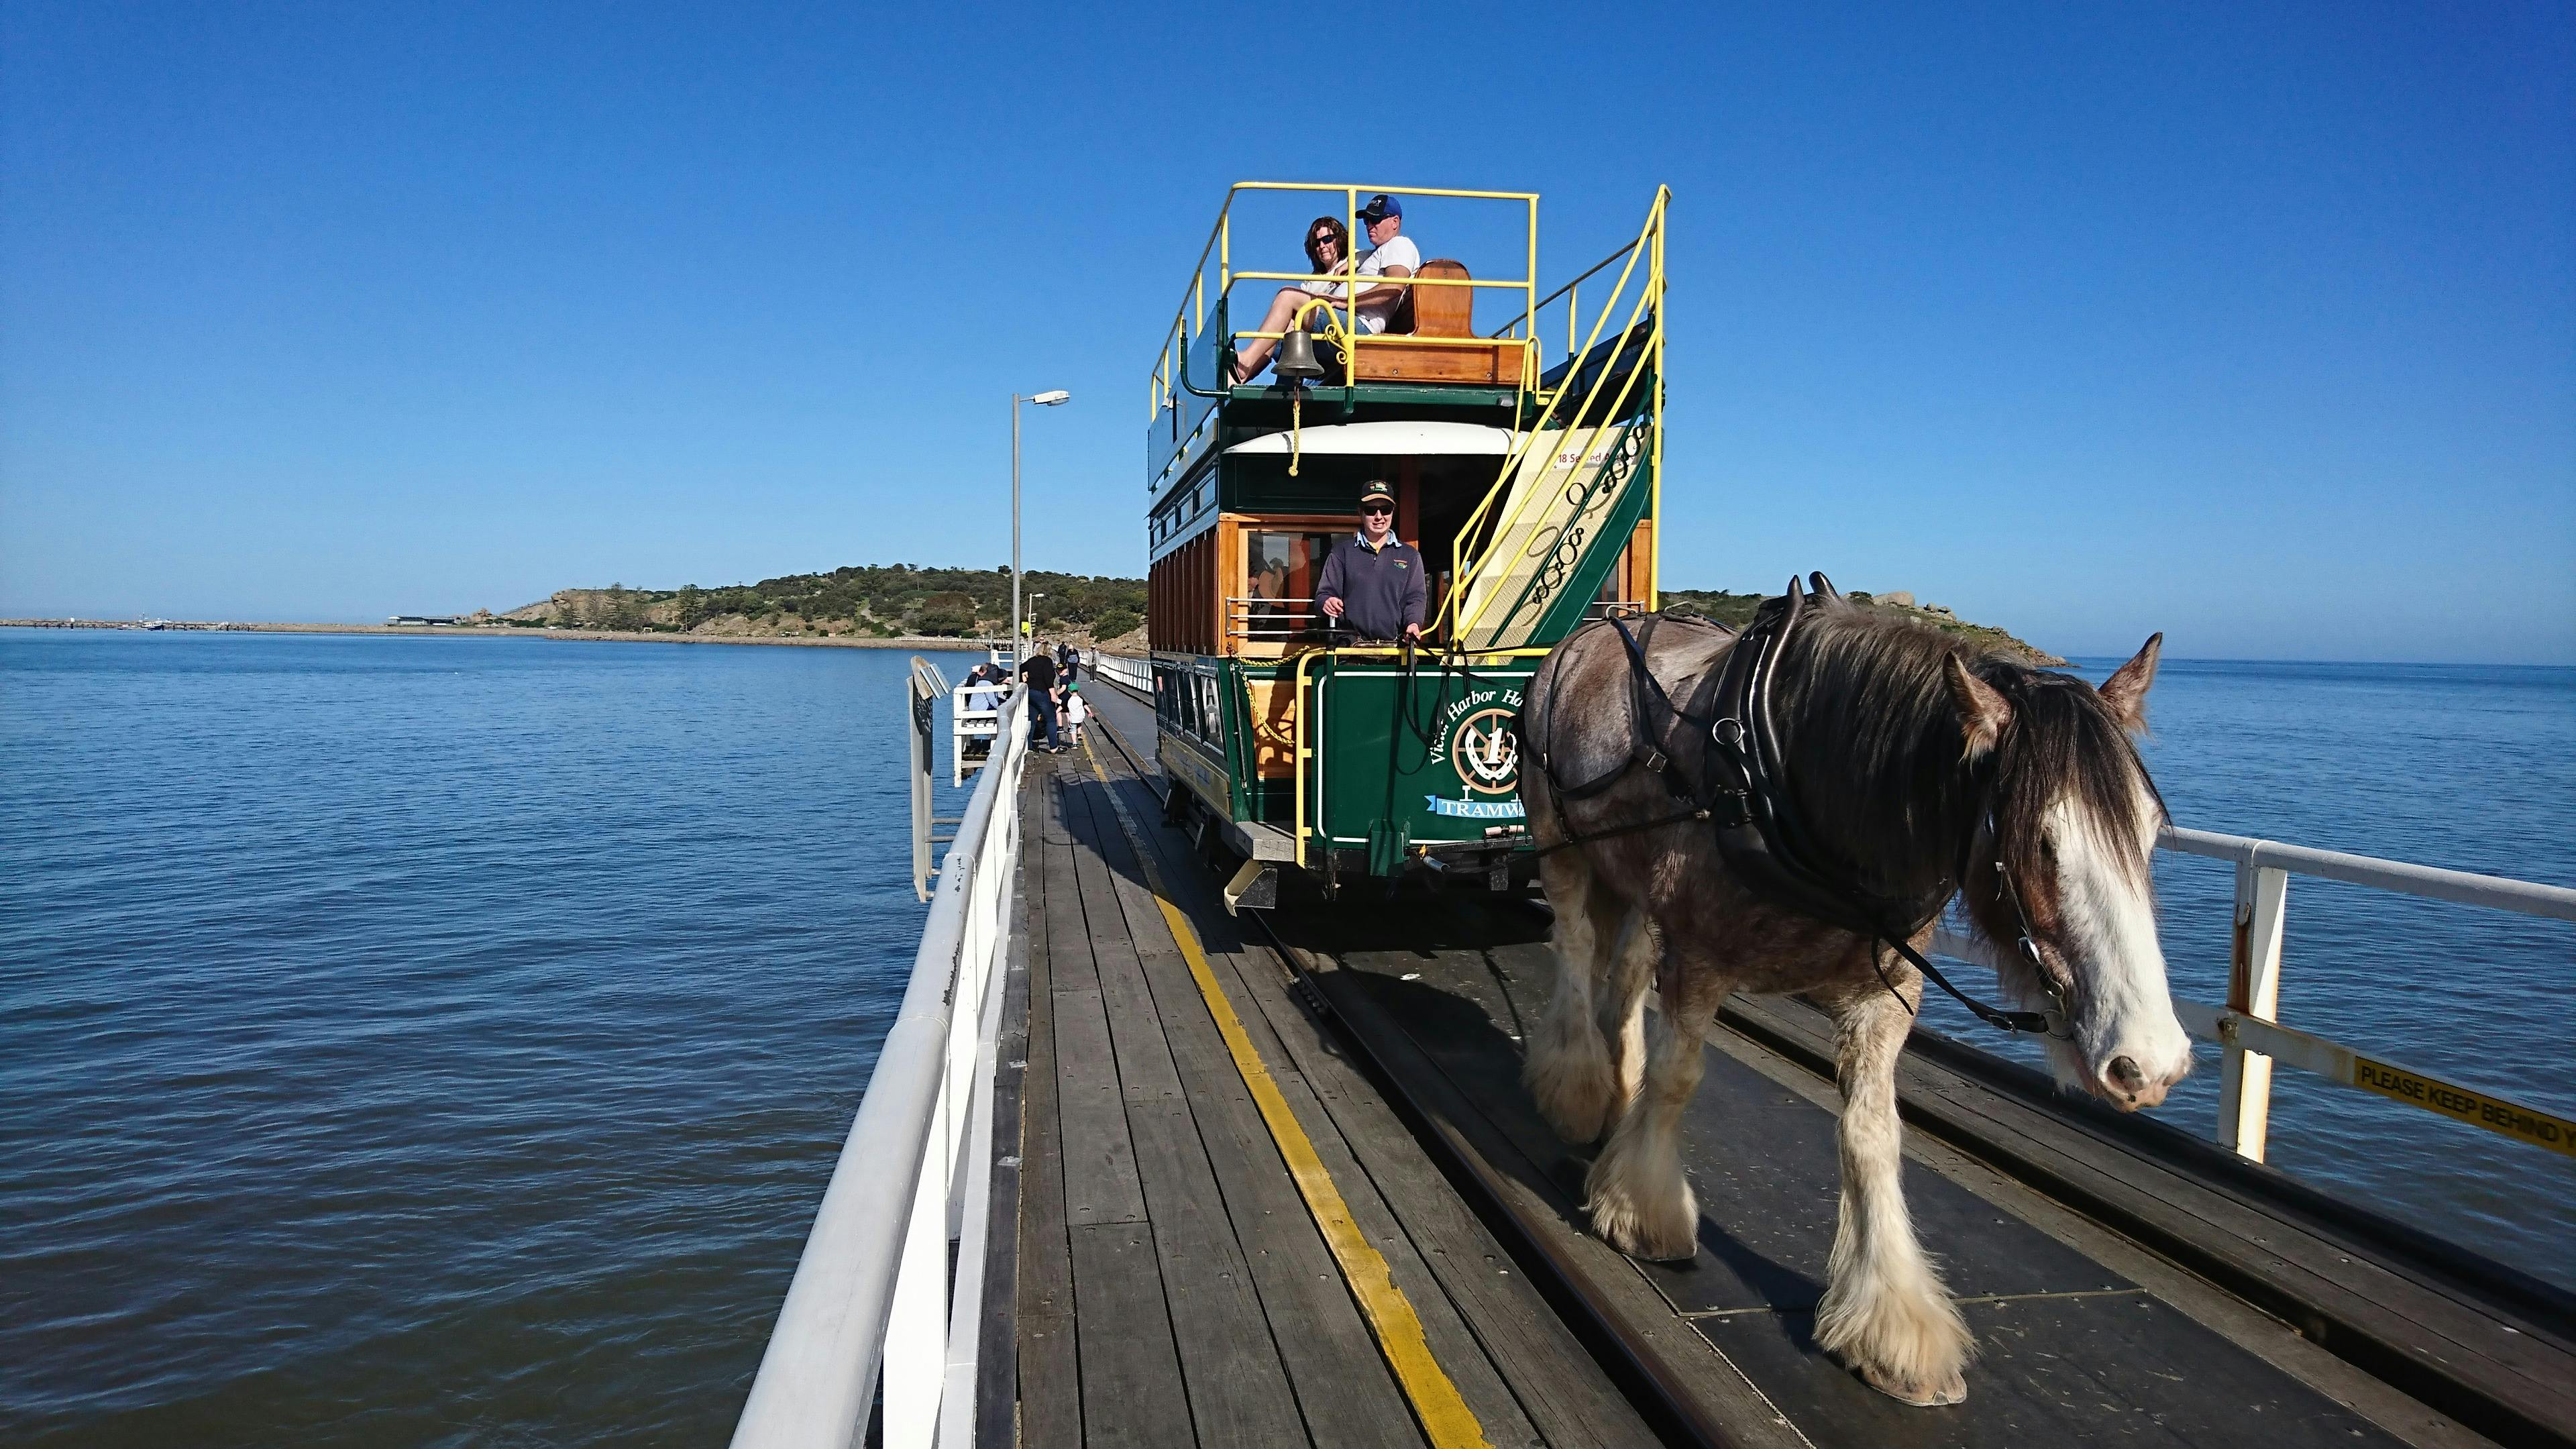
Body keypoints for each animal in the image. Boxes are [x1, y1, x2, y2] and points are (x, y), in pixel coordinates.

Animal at [1516, 589, 2189, 1408]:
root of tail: (1593, 629)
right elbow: (1679, 1081)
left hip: (1637, 877)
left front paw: (1893, 1323)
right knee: (1579, 951)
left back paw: (1618, 1081)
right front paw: (1644, 1208)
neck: (1782, 769)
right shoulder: (1701, 957)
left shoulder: (1886, 997)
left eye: (2150, 833)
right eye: (2041, 841)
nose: (2150, 1062)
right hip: (1560, 843)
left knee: (1628, 969)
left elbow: (1872, 1135)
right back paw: (1578, 1085)